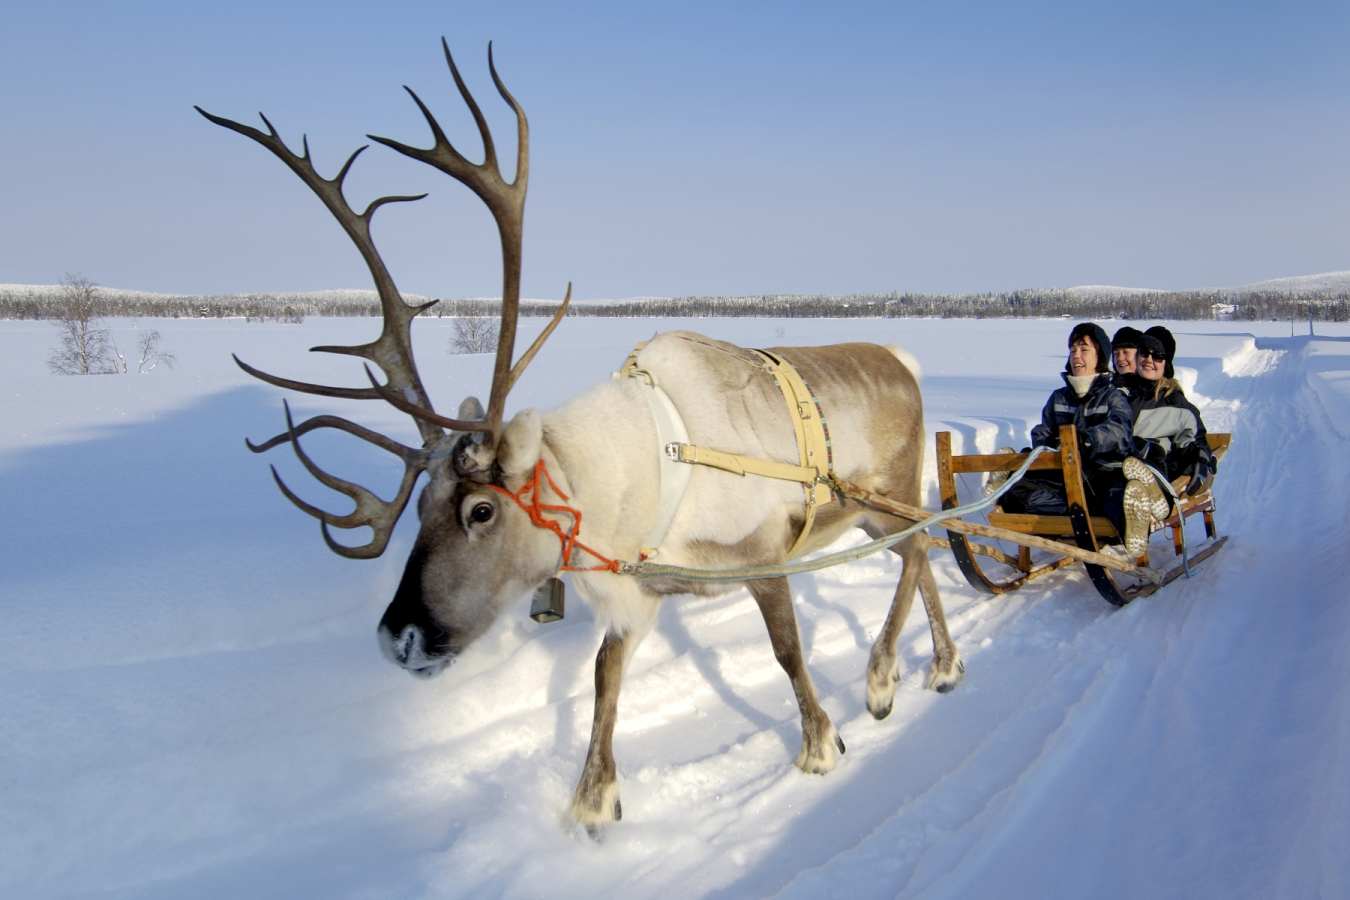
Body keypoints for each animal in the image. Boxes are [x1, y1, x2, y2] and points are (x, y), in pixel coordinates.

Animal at [197, 39, 964, 831]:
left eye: (481, 509)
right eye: (419, 506)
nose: (397, 638)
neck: (640, 479)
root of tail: (902, 360)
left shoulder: (760, 555)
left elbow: (786, 651)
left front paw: (818, 744)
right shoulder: (638, 591)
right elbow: (604, 674)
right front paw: (593, 798)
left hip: (885, 496)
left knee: (920, 548)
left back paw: (883, 678)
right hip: (877, 510)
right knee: (928, 551)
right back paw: (942, 666)